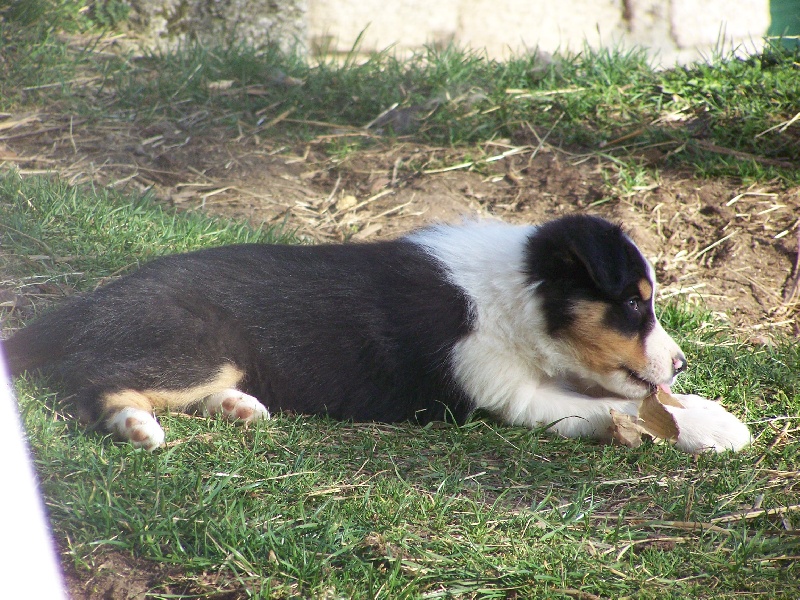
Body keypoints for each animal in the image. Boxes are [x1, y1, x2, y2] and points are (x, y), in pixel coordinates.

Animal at [3, 214, 751, 453]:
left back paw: (239, 409)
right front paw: (718, 430)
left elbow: (633, 400)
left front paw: (706, 414)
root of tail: (91, 301)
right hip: (199, 344)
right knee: (95, 380)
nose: (681, 364)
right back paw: (136, 426)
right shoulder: (505, 394)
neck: (515, 293)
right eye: (632, 304)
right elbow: (613, 405)